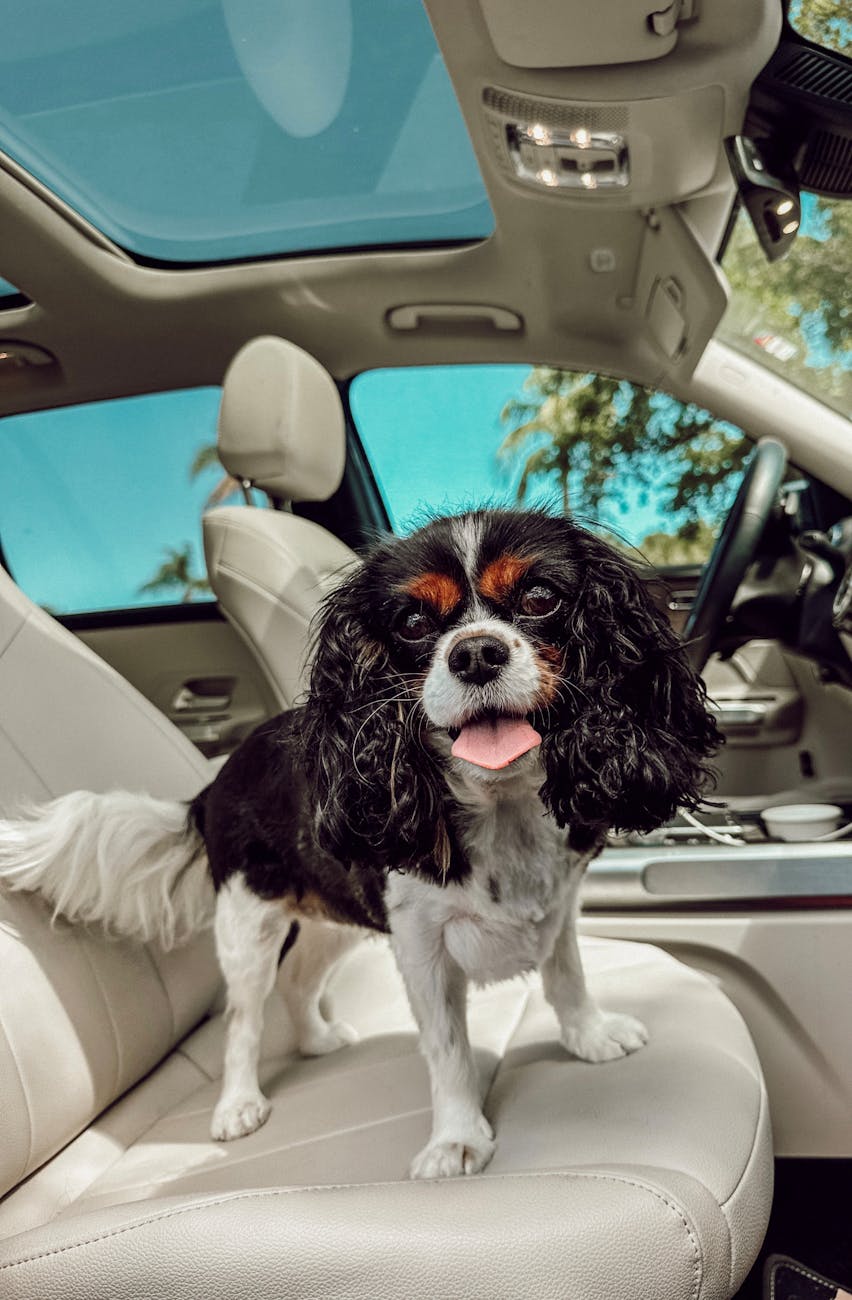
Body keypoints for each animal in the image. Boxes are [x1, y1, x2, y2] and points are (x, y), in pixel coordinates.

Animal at [0, 506, 718, 1180]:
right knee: (244, 1020)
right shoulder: (421, 947)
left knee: (298, 982)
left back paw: (316, 1041)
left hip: (334, 913)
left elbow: (566, 974)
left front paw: (589, 1035)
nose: (475, 653)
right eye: (413, 623)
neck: (501, 803)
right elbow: (448, 1049)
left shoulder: (557, 905)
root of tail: (213, 784)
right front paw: (457, 1138)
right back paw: (237, 1104)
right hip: (249, 927)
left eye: (540, 597)